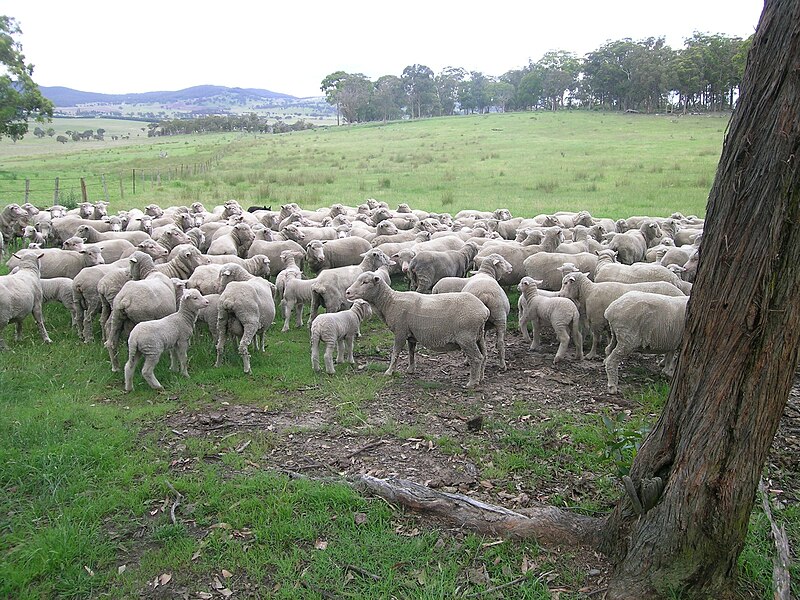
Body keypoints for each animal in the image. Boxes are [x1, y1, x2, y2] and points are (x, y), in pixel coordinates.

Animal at [344, 272, 488, 390]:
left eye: (365, 282)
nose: (347, 292)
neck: (389, 302)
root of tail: (484, 311)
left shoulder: (400, 332)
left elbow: (395, 353)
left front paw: (389, 372)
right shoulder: (410, 335)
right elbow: (411, 352)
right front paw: (410, 370)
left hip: (466, 337)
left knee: (476, 358)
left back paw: (472, 383)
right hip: (478, 335)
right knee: (484, 355)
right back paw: (480, 378)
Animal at [556, 274, 688, 360]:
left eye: (566, 283)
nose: (559, 295)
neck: (588, 292)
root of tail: (681, 292)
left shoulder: (597, 321)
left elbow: (596, 339)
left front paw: (591, 355)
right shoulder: (607, 322)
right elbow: (610, 338)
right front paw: (608, 352)